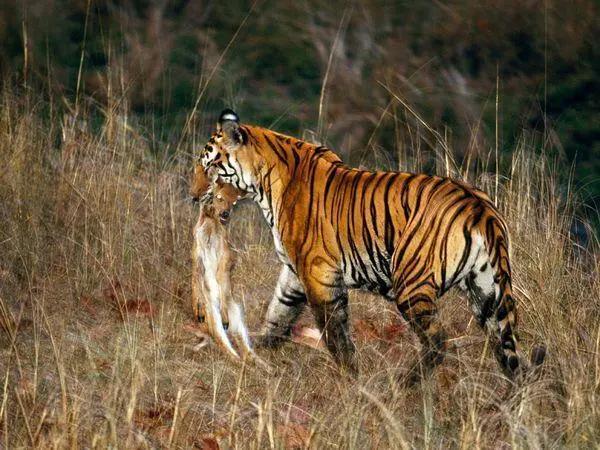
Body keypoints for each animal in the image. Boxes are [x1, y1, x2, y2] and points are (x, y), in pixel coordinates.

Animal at [199, 108, 548, 380]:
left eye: (210, 166)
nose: (195, 196)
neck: (265, 184)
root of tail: (480, 207)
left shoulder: (317, 272)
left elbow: (335, 333)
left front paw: (352, 379)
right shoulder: (294, 273)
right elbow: (278, 316)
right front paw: (254, 350)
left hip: (411, 282)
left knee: (438, 342)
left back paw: (403, 384)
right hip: (488, 291)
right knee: (506, 349)